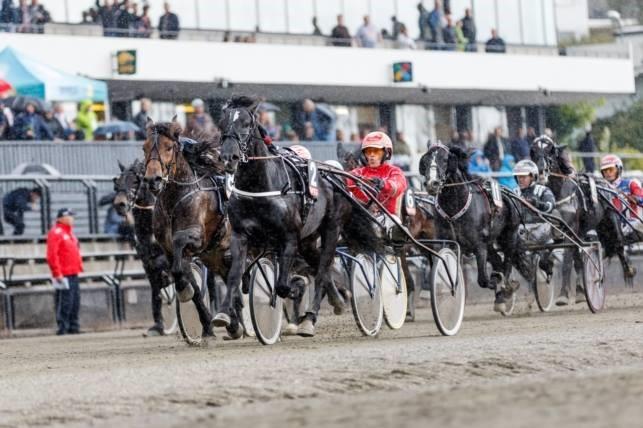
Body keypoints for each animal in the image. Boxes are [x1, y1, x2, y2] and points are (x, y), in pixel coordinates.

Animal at [113, 159, 174, 336]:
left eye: (135, 181)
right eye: (117, 182)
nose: (120, 204)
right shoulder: (146, 263)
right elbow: (156, 292)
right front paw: (158, 326)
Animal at [142, 118, 235, 338]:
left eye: (169, 147)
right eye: (144, 147)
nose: (152, 180)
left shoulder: (195, 239)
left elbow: (179, 253)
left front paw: (183, 291)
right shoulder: (169, 250)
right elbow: (190, 284)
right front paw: (207, 326)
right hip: (216, 256)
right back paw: (233, 324)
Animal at [216, 96, 348, 338]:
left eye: (246, 124)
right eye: (222, 124)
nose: (229, 157)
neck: (260, 187)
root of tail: (332, 175)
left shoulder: (288, 237)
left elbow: (283, 286)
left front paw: (294, 291)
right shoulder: (240, 235)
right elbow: (234, 275)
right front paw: (222, 314)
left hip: (331, 229)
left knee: (322, 270)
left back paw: (310, 319)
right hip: (308, 240)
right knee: (320, 267)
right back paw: (338, 300)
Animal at [418, 143, 528, 310]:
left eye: (444, 159)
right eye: (426, 160)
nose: (432, 183)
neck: (454, 208)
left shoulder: (479, 245)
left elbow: (483, 280)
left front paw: (496, 282)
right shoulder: (446, 243)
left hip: (509, 235)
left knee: (507, 261)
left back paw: (505, 290)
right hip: (490, 242)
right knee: (497, 260)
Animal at [528, 140, 632, 298]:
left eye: (550, 151)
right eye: (533, 151)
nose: (541, 171)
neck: (558, 193)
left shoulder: (571, 230)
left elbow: (567, 262)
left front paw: (563, 295)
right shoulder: (557, 230)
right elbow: (548, 253)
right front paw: (548, 267)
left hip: (610, 220)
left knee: (619, 245)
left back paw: (628, 274)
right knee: (580, 257)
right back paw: (581, 289)